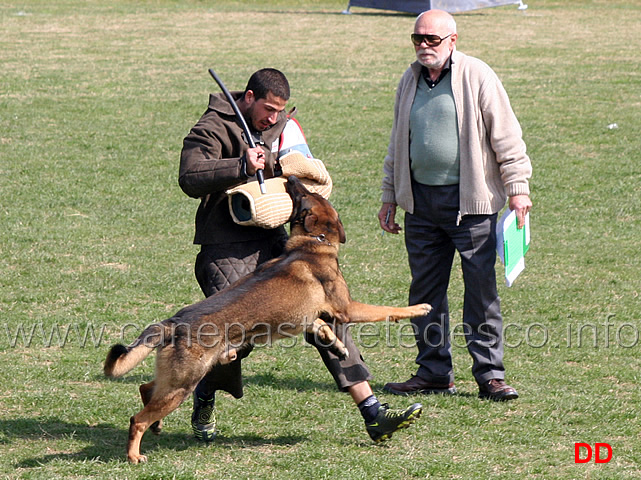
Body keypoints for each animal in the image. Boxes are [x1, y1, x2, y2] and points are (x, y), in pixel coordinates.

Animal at [105, 175, 430, 462]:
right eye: (306, 195)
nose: (291, 178)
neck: (312, 242)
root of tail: (174, 322)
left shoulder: (309, 316)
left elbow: (321, 327)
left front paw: (337, 346)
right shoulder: (348, 308)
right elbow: (388, 310)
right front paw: (419, 308)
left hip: (178, 380)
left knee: (145, 389)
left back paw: (156, 426)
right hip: (183, 383)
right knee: (137, 418)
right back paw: (134, 455)